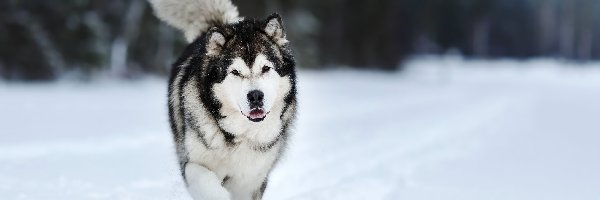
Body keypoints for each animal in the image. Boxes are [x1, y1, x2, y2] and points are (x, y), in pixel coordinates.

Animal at [149, 0, 296, 200]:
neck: (237, 135)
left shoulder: (249, 180)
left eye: (266, 68)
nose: (256, 96)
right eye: (235, 72)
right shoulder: (192, 163)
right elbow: (208, 184)